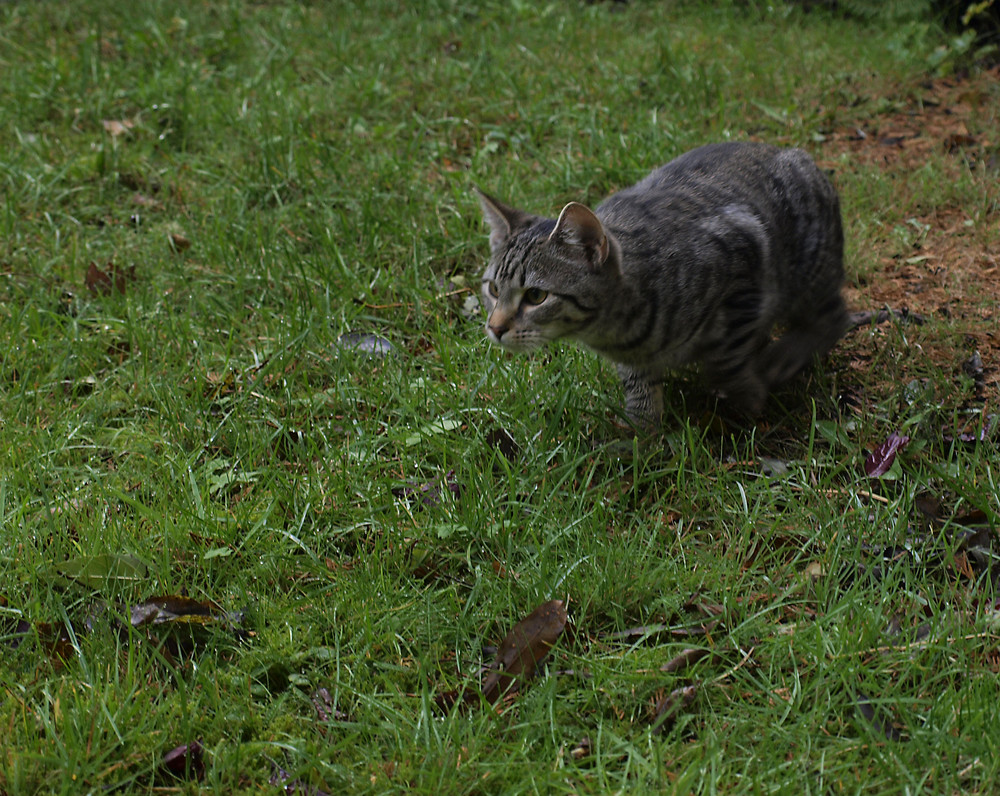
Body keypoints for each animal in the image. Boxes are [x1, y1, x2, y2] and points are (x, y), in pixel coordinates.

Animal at [474, 141, 844, 430]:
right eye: (493, 290)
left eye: (536, 296)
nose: (495, 328)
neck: (615, 331)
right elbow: (639, 386)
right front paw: (641, 430)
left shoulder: (744, 258)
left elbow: (726, 360)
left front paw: (748, 394)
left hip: (806, 267)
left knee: (834, 315)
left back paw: (786, 355)